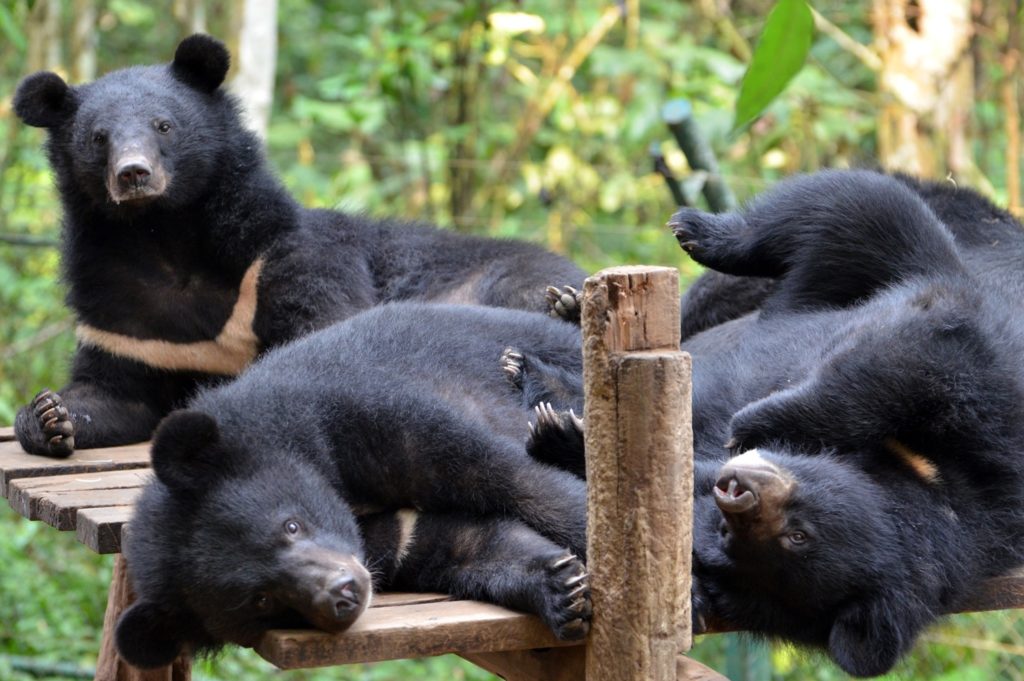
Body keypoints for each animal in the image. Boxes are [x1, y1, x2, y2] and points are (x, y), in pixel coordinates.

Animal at [12, 33, 585, 458]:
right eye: (98, 138)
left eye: (164, 126)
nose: (134, 174)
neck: (165, 234)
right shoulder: (122, 312)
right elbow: (114, 393)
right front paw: (48, 415)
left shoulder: (282, 256)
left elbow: (324, 329)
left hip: (501, 278)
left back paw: (568, 308)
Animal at [115, 302, 592, 668]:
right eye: (262, 602)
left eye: (292, 526)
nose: (344, 593)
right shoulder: (390, 539)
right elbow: (465, 543)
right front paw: (562, 591)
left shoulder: (369, 411)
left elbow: (512, 478)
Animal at [518, 170, 1024, 676]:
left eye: (795, 536)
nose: (738, 492)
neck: (924, 478)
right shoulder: (987, 401)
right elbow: (914, 354)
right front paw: (753, 422)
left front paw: (561, 434)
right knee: (859, 209)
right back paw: (681, 240)